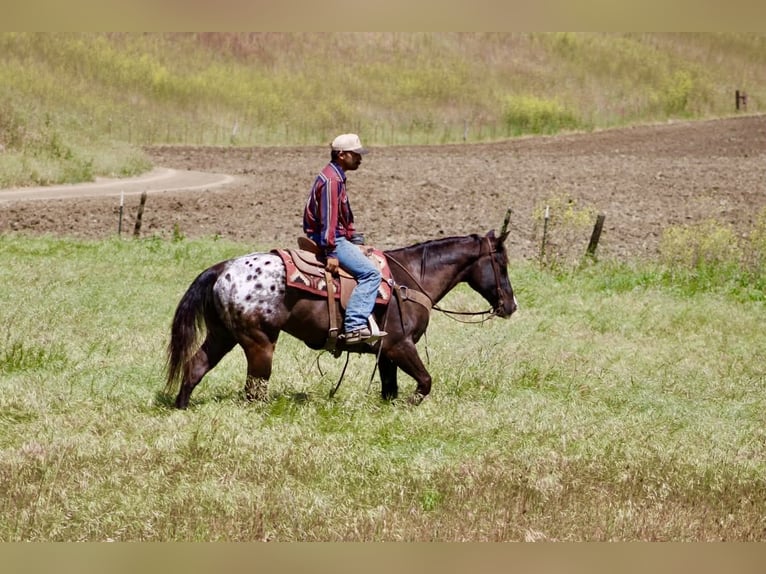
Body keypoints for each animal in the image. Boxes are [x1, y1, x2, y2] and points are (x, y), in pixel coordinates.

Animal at [165, 218, 517, 409]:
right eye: (501, 264)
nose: (511, 306)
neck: (410, 278)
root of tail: (223, 268)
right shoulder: (400, 345)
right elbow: (425, 382)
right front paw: (411, 405)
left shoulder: (385, 353)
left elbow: (389, 390)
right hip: (259, 342)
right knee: (254, 388)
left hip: (222, 335)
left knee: (196, 366)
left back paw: (182, 407)